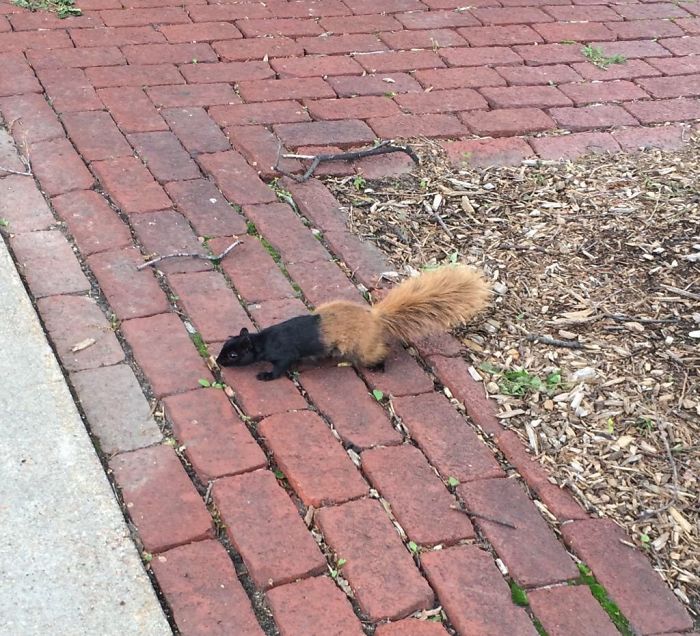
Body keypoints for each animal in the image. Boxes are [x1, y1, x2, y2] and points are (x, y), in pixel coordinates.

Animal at [216, 266, 490, 381]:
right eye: (225, 346)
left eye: (233, 355)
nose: (218, 362)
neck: (265, 341)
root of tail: (375, 318)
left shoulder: (285, 354)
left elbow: (280, 368)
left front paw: (264, 375)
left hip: (362, 349)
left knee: (379, 352)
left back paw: (379, 367)